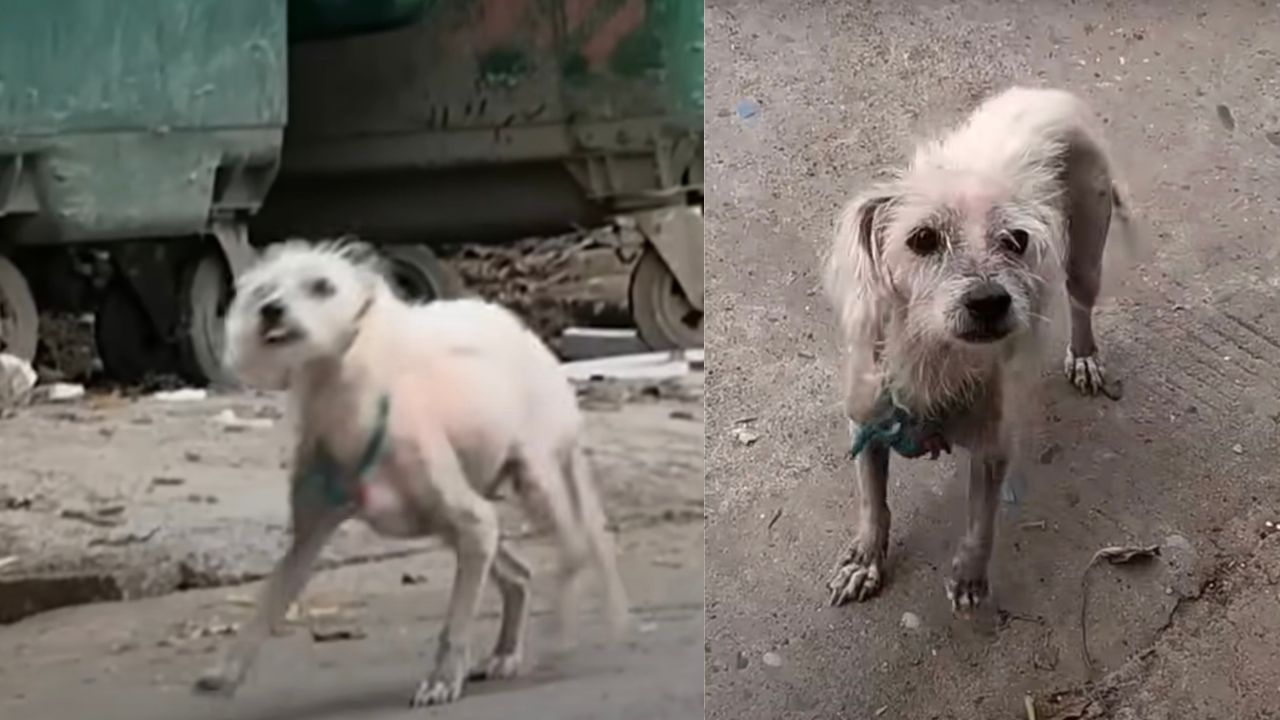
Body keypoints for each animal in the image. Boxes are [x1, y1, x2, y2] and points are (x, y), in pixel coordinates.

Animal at [192, 238, 627, 702]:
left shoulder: (475, 522)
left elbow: (455, 623)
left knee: (573, 552)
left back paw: (556, 634)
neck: (347, 406)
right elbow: (267, 604)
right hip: (447, 524)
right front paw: (226, 671)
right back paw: (506, 652)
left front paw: (442, 679)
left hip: (531, 479)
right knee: (519, 575)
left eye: (322, 286)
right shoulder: (308, 537)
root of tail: (532, 339)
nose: (271, 310)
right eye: (263, 291)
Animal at [824, 87, 1136, 607]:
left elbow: (980, 524)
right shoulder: (866, 422)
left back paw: (1084, 354)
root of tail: (1049, 95)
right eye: (922, 238)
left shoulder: (994, 446)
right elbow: (874, 503)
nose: (990, 302)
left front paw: (969, 576)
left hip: (1087, 253)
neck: (934, 354)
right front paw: (865, 560)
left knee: (1080, 302)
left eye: (1017, 239)